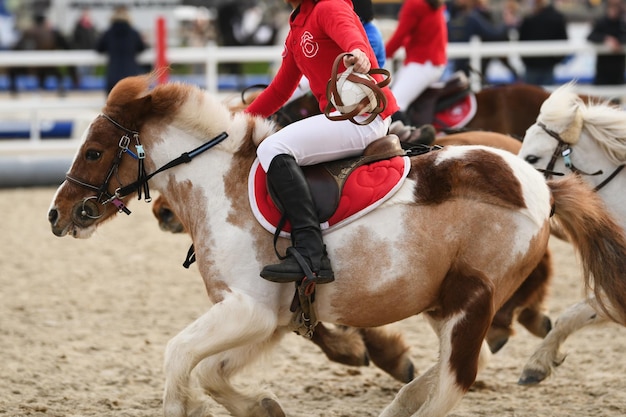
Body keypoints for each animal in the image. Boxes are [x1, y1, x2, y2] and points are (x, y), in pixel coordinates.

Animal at [47, 75, 624, 416]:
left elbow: (178, 356)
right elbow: (210, 371)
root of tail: (540, 183)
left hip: (471, 298)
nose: (57, 213)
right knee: (449, 368)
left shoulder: (249, 311)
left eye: (94, 151)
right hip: (449, 303)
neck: (219, 184)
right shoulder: (270, 320)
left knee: (455, 379)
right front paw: (260, 406)